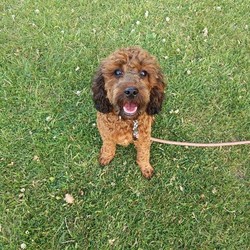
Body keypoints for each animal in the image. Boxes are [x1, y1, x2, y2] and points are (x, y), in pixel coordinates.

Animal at [91, 47, 165, 179]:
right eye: (117, 72)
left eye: (143, 73)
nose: (131, 91)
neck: (125, 120)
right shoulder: (105, 132)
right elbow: (108, 145)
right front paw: (106, 156)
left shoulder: (144, 138)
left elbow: (144, 153)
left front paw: (145, 167)